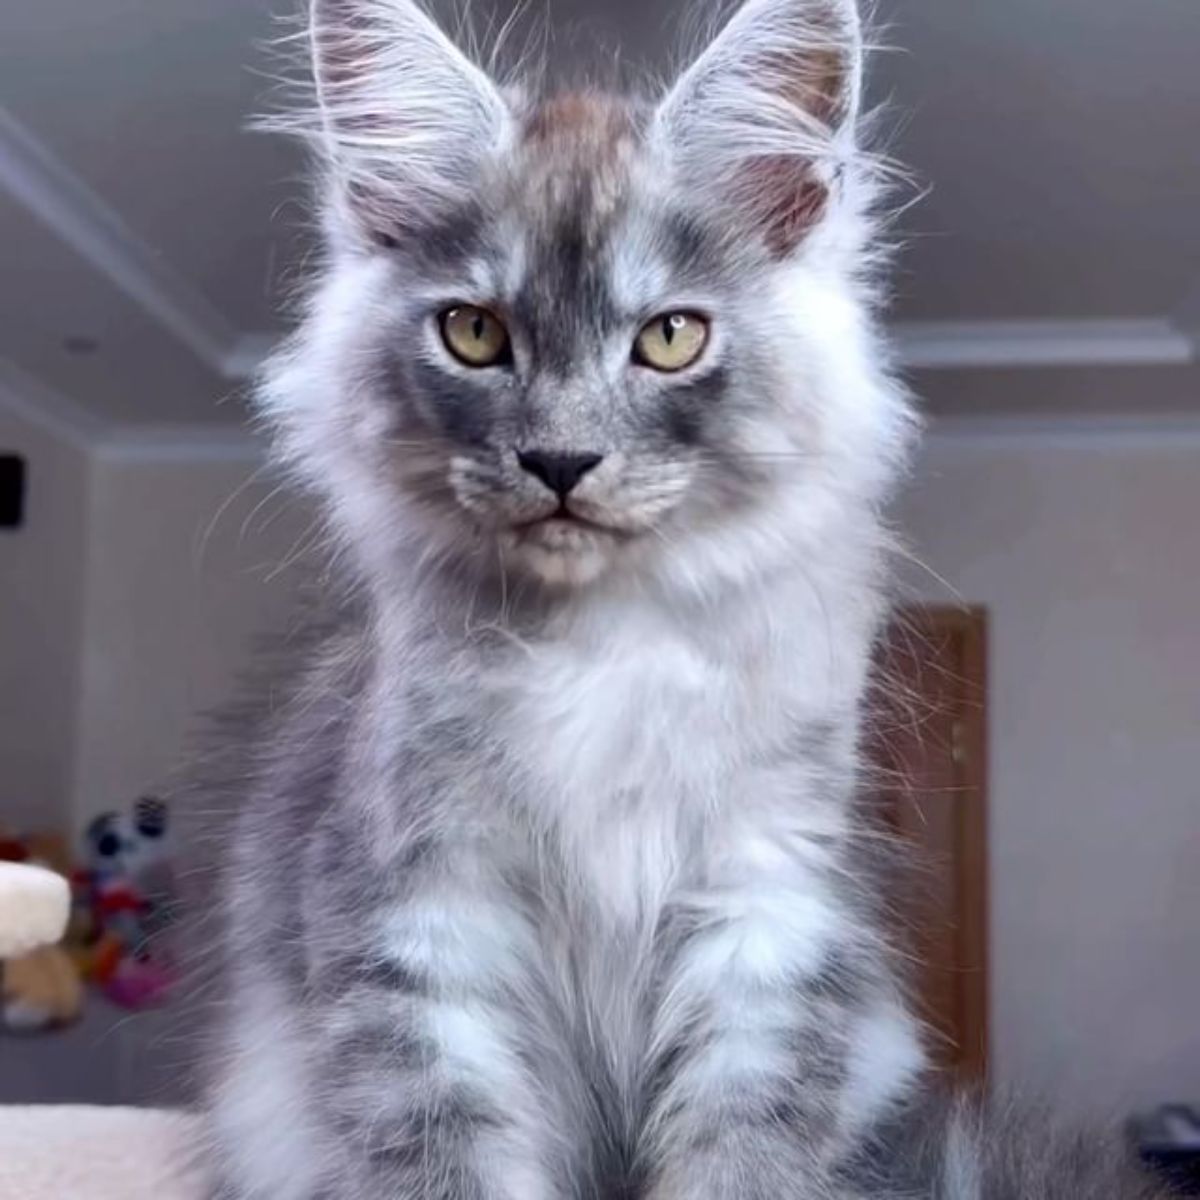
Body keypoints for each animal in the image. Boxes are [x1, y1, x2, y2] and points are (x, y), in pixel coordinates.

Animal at [196, 2, 1171, 1200]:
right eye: (474, 332)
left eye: (669, 337)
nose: (560, 461)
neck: (604, 639)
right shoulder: (417, 934)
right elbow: (451, 1154)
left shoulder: (763, 913)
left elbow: (741, 1149)